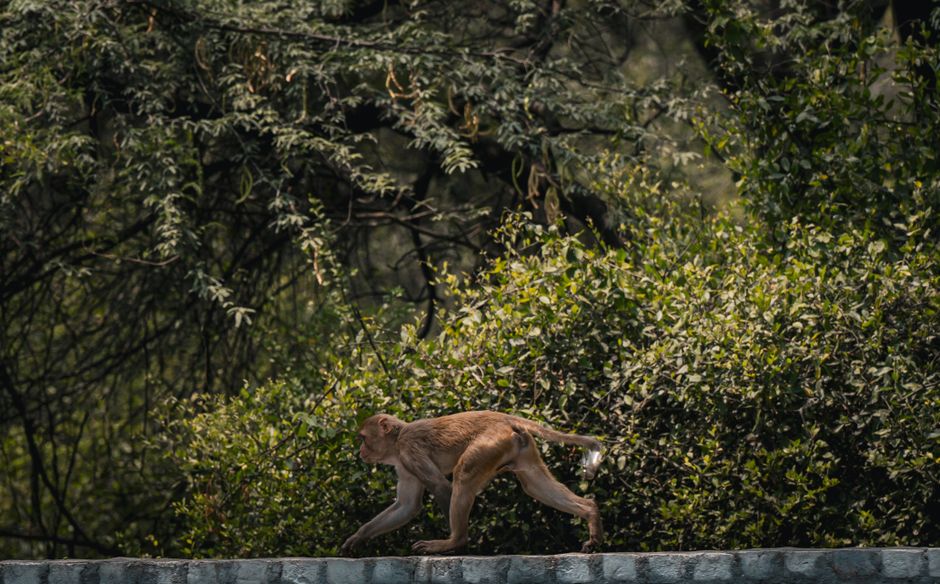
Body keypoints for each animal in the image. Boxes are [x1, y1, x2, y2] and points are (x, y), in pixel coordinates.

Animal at [340, 410, 604, 555]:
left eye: (363, 438)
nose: (361, 451)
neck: (396, 442)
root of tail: (504, 417)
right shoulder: (404, 467)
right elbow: (406, 506)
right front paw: (358, 537)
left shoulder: (409, 451)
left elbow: (441, 487)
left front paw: (456, 547)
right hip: (521, 447)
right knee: (536, 486)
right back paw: (590, 512)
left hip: (490, 443)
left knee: (463, 475)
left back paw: (455, 540)